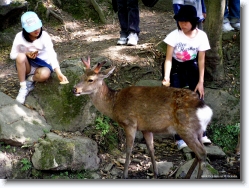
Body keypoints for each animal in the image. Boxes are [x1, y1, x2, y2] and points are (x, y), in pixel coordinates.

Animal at [71, 56, 212, 179]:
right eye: (81, 76)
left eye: (90, 79)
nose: (74, 89)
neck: (114, 105)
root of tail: (206, 110)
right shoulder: (146, 128)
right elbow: (151, 149)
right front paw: (155, 174)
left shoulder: (130, 123)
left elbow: (128, 149)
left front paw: (125, 175)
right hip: (197, 131)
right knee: (199, 153)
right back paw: (187, 176)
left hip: (186, 128)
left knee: (202, 153)